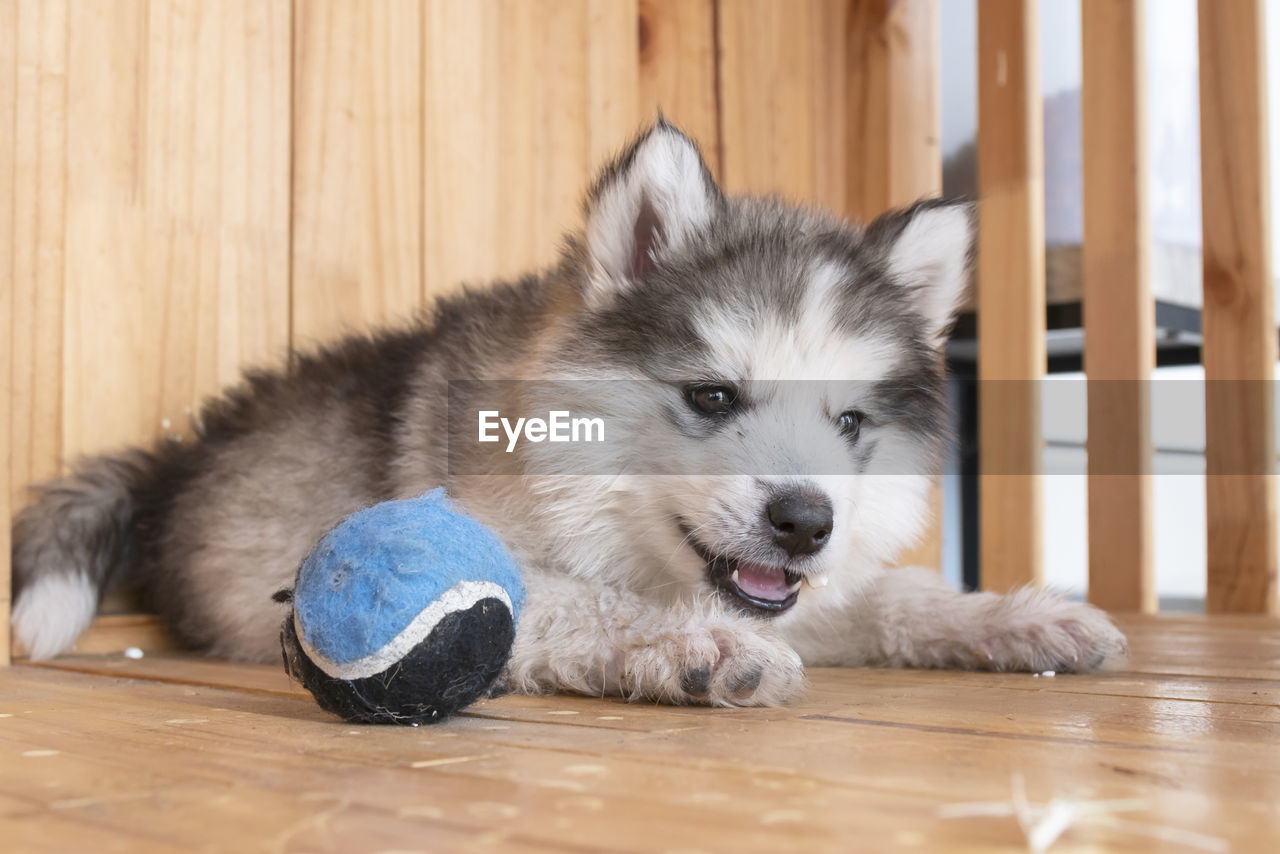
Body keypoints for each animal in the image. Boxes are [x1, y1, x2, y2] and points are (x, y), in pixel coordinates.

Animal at [15, 121, 1126, 706]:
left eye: (848, 424)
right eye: (711, 396)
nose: (806, 521)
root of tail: (184, 452)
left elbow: (891, 595)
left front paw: (1013, 617)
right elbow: (567, 600)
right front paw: (696, 647)